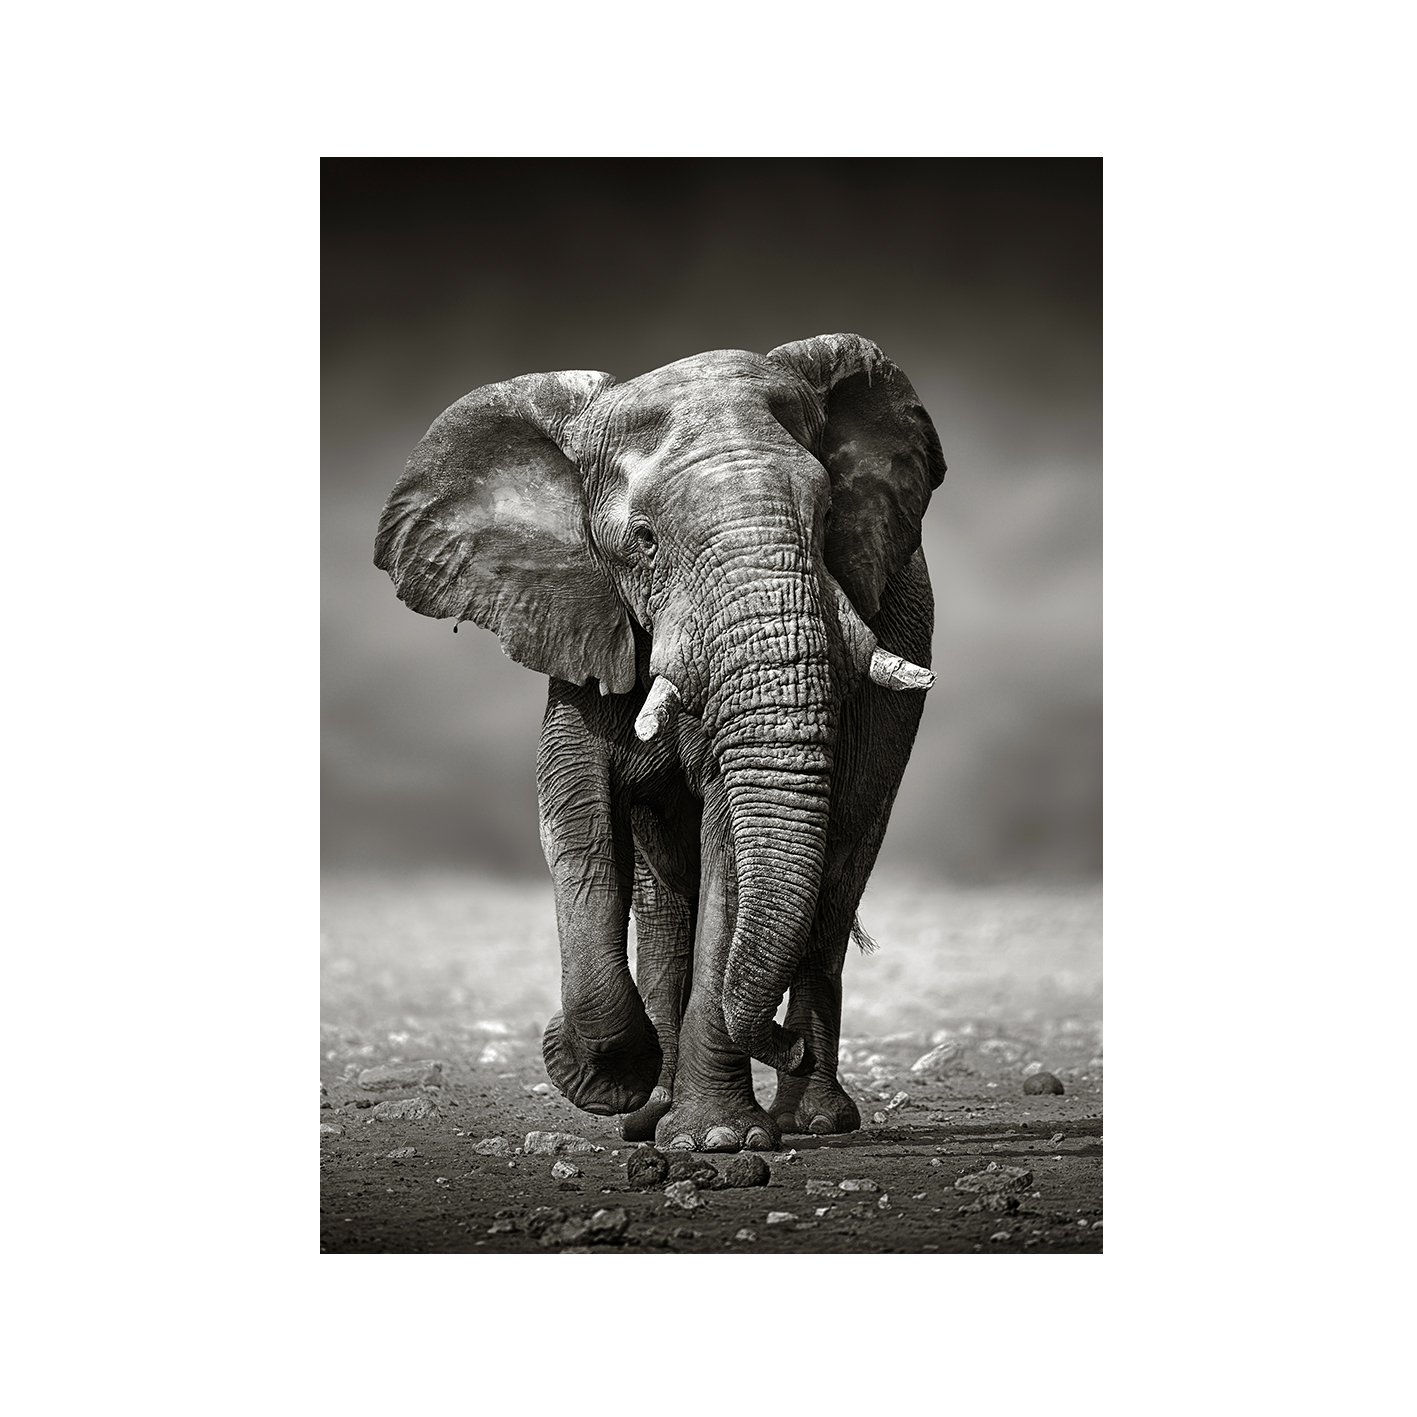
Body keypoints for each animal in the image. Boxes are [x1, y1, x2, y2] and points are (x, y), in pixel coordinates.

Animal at [374, 333, 945, 1153]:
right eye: (642, 541)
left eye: (829, 512)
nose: (781, 1044)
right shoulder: (582, 619)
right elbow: (576, 820)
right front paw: (605, 1079)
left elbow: (729, 845)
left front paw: (719, 1140)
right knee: (665, 899)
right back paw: (653, 1114)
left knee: (835, 877)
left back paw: (809, 1120)